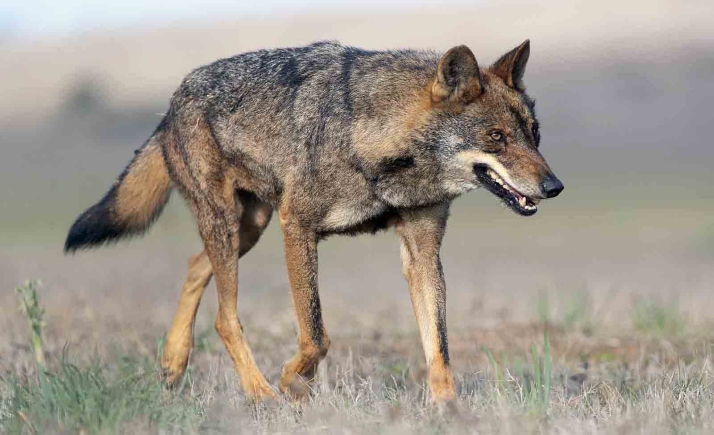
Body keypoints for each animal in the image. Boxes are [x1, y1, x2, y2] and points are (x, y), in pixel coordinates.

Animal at [65, 40, 563, 403]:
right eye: (496, 138)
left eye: (535, 134)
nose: (554, 186)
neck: (374, 143)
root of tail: (172, 100)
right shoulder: (297, 228)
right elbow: (316, 335)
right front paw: (291, 383)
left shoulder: (422, 253)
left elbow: (438, 347)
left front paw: (448, 410)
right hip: (232, 226)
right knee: (226, 317)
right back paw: (261, 395)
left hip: (248, 228)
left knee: (193, 266)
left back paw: (173, 363)